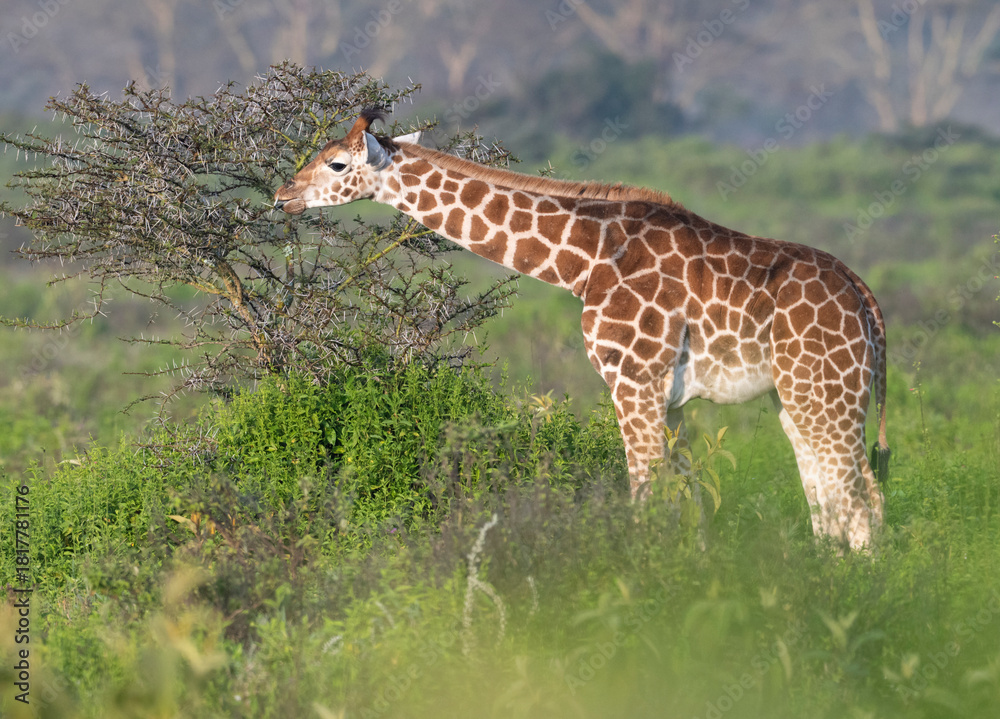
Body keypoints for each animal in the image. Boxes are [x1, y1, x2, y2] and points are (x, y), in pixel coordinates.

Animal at [274, 109, 890, 550]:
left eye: (336, 164)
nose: (282, 195)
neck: (584, 262)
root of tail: (864, 296)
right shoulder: (669, 398)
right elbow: (687, 503)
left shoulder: (633, 380)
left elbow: (646, 496)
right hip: (796, 396)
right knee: (832, 502)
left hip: (825, 393)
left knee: (863, 501)